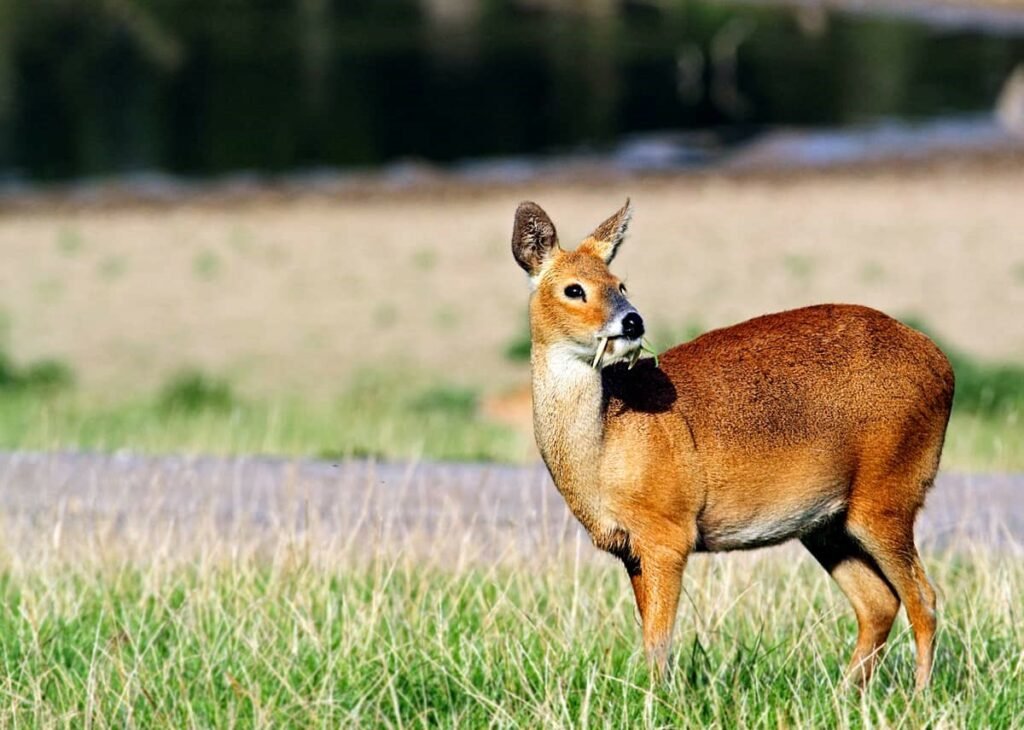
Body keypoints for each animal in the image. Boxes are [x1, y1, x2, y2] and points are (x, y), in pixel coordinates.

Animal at [511, 199, 954, 691]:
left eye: (620, 283)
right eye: (574, 289)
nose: (632, 320)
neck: (606, 445)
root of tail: (943, 366)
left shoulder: (668, 531)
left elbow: (658, 640)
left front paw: (658, 699)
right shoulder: (630, 548)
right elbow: (649, 634)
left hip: (888, 493)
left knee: (924, 599)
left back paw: (918, 695)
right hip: (828, 523)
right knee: (879, 603)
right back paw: (846, 694)